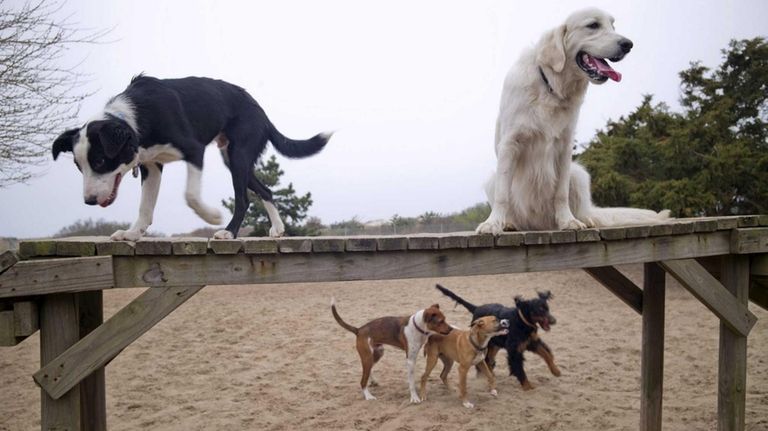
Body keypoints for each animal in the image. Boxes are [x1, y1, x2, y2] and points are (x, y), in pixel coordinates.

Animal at [52, 75, 328, 241]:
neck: (133, 119)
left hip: (238, 156)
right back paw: (278, 228)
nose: (88, 201)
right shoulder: (152, 166)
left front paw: (212, 217)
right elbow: (145, 207)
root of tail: (262, 111)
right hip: (234, 160)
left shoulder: (194, 151)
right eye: (78, 166)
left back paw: (228, 232)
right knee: (266, 190)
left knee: (243, 200)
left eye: (99, 161)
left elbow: (191, 196)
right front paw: (132, 234)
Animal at [476, 7, 668, 236]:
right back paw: (509, 223)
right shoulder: (510, 144)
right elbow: (502, 195)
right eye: (593, 25)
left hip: (578, 174)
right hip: (492, 179)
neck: (550, 87)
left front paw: (568, 221)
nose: (628, 44)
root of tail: (540, 225)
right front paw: (493, 223)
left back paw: (585, 219)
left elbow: (560, 193)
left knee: (583, 208)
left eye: (613, 26)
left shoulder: (565, 147)